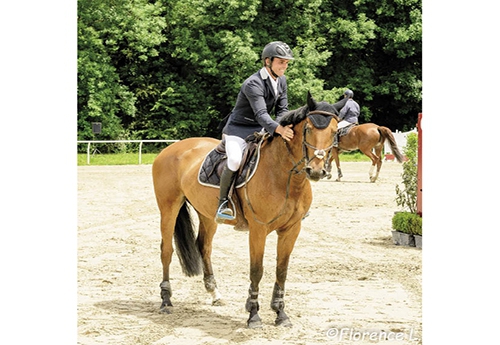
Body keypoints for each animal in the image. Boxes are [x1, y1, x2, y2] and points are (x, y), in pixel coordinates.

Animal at [151, 91, 340, 328]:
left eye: (334, 132)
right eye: (308, 129)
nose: (315, 171)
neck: (285, 176)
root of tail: (170, 148)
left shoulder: (292, 229)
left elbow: (282, 270)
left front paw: (280, 314)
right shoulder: (258, 229)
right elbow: (256, 270)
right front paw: (254, 315)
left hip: (208, 215)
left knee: (204, 247)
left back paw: (215, 294)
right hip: (168, 208)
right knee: (166, 250)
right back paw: (166, 300)